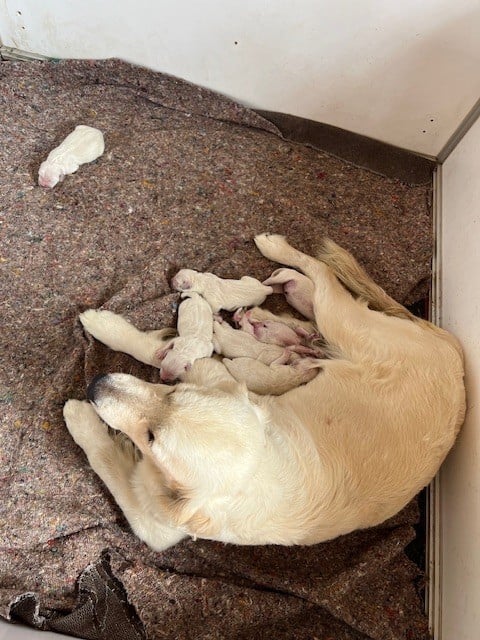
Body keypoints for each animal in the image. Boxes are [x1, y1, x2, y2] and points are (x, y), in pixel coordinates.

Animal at [62, 234, 464, 552]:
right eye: (171, 396)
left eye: (151, 438)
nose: (95, 383)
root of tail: (455, 354)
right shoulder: (207, 372)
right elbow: (154, 351)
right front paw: (104, 326)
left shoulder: (158, 526)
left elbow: (106, 459)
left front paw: (80, 418)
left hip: (345, 323)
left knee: (323, 270)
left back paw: (277, 250)